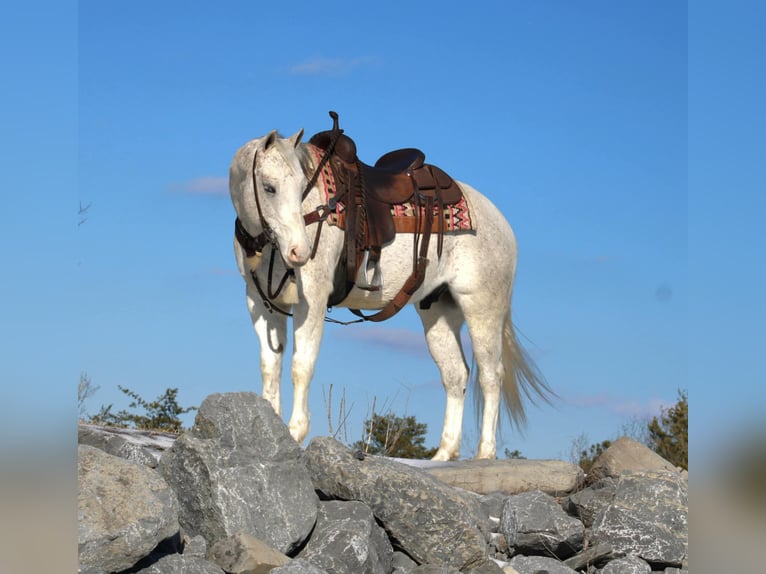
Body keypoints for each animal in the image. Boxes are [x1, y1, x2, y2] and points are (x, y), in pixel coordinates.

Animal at [226, 125, 552, 460]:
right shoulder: (261, 303)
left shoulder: (312, 300)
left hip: (482, 308)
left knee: (491, 375)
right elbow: (270, 367)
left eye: (304, 185)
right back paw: (443, 454)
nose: (299, 252)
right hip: (438, 311)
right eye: (269, 188)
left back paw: (485, 453)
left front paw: (295, 433)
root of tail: (501, 222)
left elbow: (301, 366)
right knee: (456, 375)